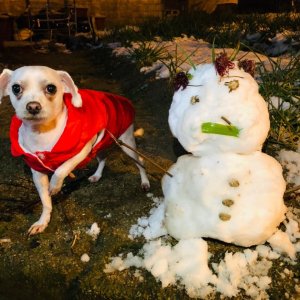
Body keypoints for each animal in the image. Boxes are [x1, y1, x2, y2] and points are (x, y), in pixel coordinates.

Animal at [0, 65, 150, 234]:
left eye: (51, 88)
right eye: (16, 88)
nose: (33, 106)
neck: (42, 132)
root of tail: (123, 100)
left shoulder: (82, 151)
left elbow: (61, 169)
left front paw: (55, 186)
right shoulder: (37, 173)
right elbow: (45, 201)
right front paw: (43, 221)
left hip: (127, 145)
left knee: (140, 161)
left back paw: (145, 182)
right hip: (100, 146)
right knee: (103, 158)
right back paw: (97, 175)